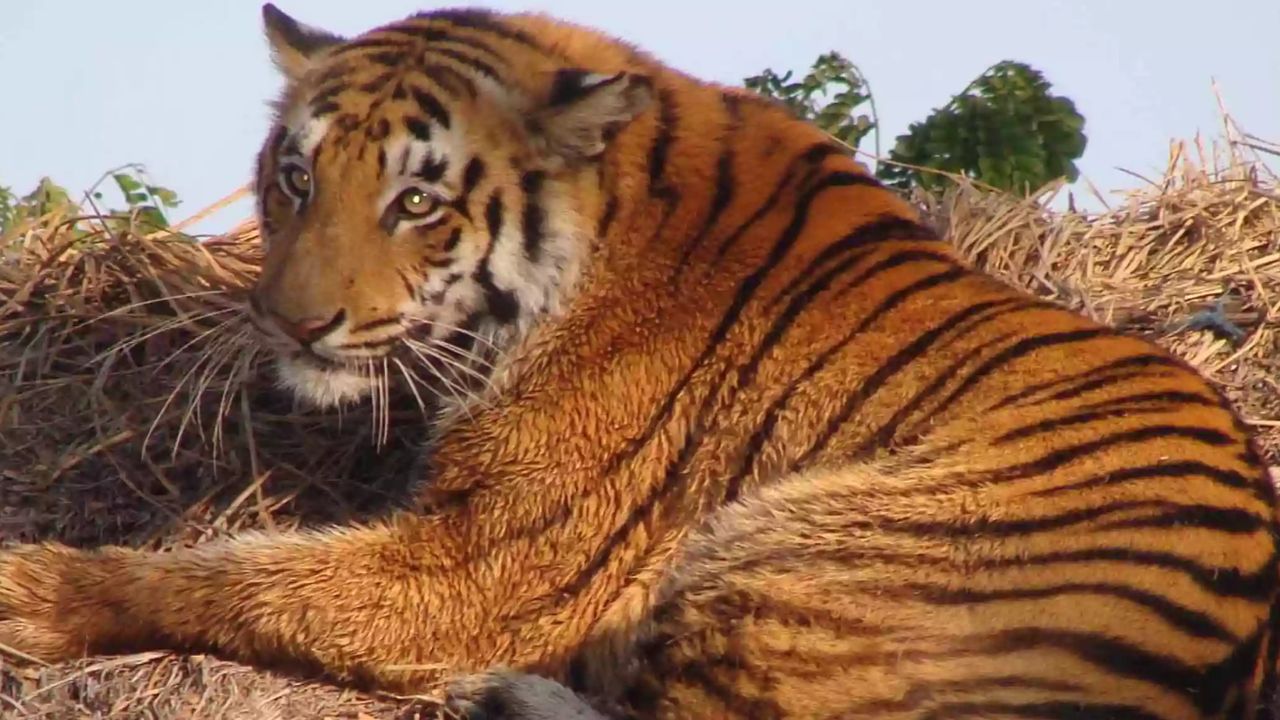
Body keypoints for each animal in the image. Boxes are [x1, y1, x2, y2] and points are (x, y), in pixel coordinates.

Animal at [1, 3, 1277, 719]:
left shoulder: (485, 569)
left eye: (416, 201)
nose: (290, 324)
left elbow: (236, 574)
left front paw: (31, 589)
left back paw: (506, 696)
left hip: (796, 539)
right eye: (296, 177)